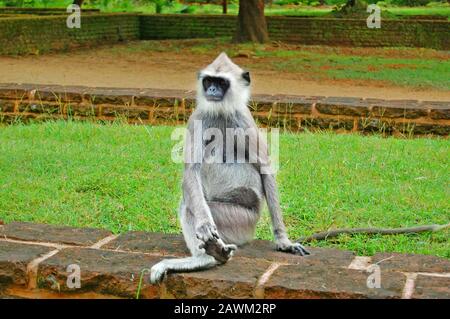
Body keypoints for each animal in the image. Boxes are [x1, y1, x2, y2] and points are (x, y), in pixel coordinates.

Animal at [151, 52, 310, 284]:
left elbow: (265, 168)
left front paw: (284, 241)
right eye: (209, 81)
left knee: (187, 206)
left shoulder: (243, 119)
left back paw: (207, 259)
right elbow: (191, 170)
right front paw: (204, 226)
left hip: (241, 219)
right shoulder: (198, 117)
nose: (211, 90)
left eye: (221, 82)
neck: (220, 113)